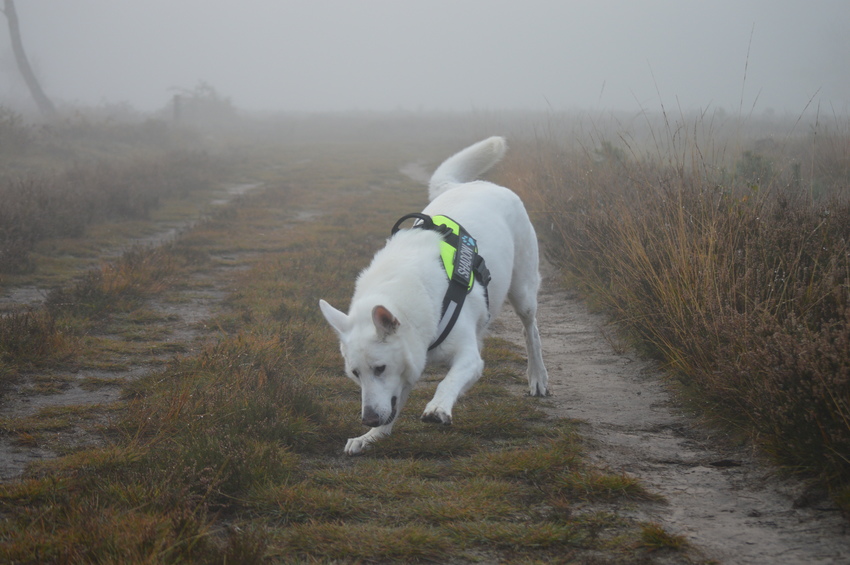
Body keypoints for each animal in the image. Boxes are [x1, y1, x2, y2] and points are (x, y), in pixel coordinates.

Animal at [319, 136, 548, 455]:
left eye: (380, 368)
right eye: (355, 374)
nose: (368, 419)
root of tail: (475, 184)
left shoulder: (469, 358)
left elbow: (446, 382)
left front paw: (438, 408)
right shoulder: (405, 370)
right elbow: (394, 406)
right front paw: (371, 437)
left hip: (523, 293)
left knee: (531, 331)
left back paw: (537, 376)